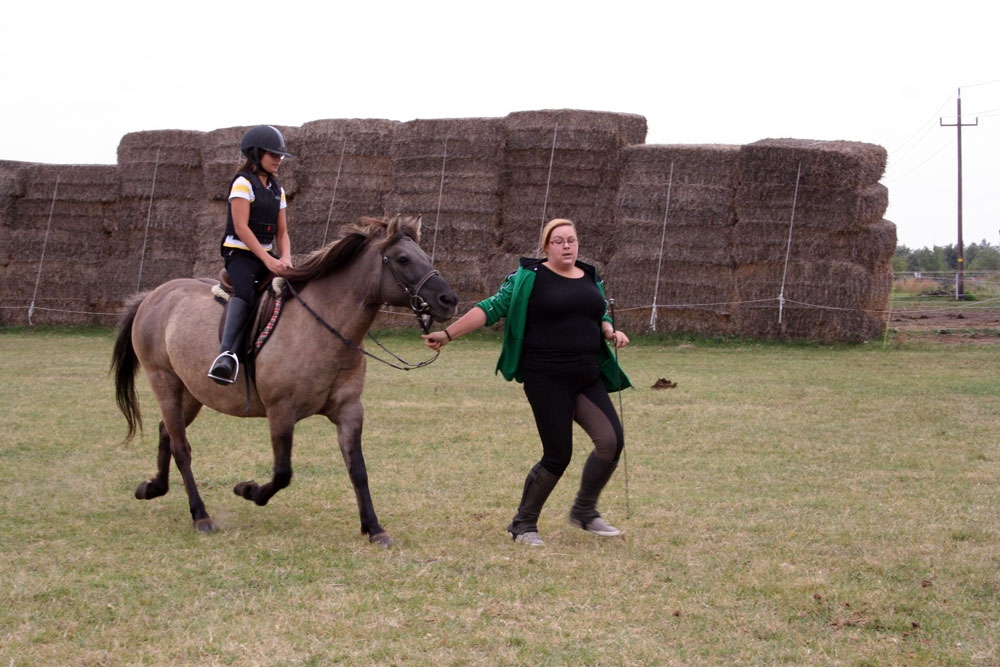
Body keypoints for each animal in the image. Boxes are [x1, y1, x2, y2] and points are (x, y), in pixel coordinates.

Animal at [110, 217, 458, 544]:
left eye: (423, 255)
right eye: (403, 259)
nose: (448, 300)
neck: (320, 327)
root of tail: (153, 295)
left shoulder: (349, 411)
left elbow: (357, 470)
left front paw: (374, 528)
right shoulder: (281, 412)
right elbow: (282, 473)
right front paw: (248, 490)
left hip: (191, 391)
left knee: (167, 431)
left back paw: (153, 488)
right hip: (164, 381)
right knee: (181, 447)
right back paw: (200, 515)